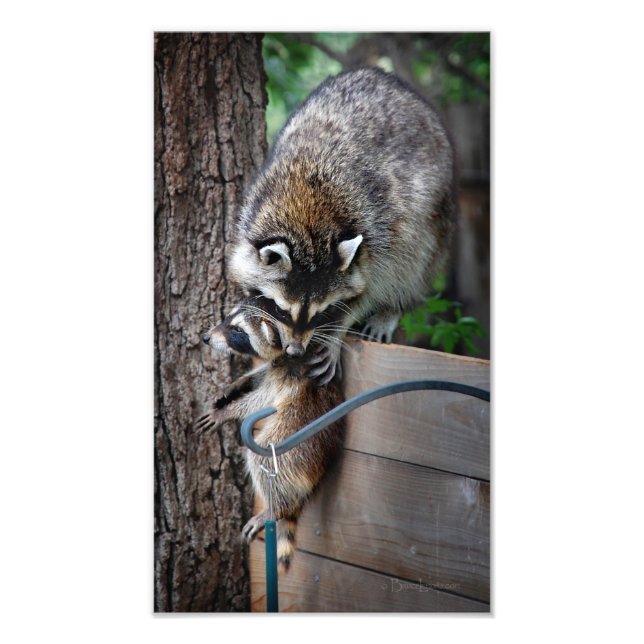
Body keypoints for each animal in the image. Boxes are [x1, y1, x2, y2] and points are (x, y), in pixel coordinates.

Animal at [197, 297, 344, 572]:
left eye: (238, 331)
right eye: (226, 319)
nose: (206, 338)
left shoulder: (292, 376)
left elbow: (260, 399)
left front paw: (228, 412)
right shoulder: (280, 365)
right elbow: (259, 375)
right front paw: (237, 384)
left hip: (294, 445)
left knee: (263, 458)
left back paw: (276, 509)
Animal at [230, 67, 455, 384]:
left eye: (320, 313)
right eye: (283, 310)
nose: (296, 350)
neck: (307, 220)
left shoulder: (379, 229)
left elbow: (373, 284)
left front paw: (337, 328)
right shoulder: (253, 208)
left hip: (436, 208)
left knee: (417, 256)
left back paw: (394, 306)